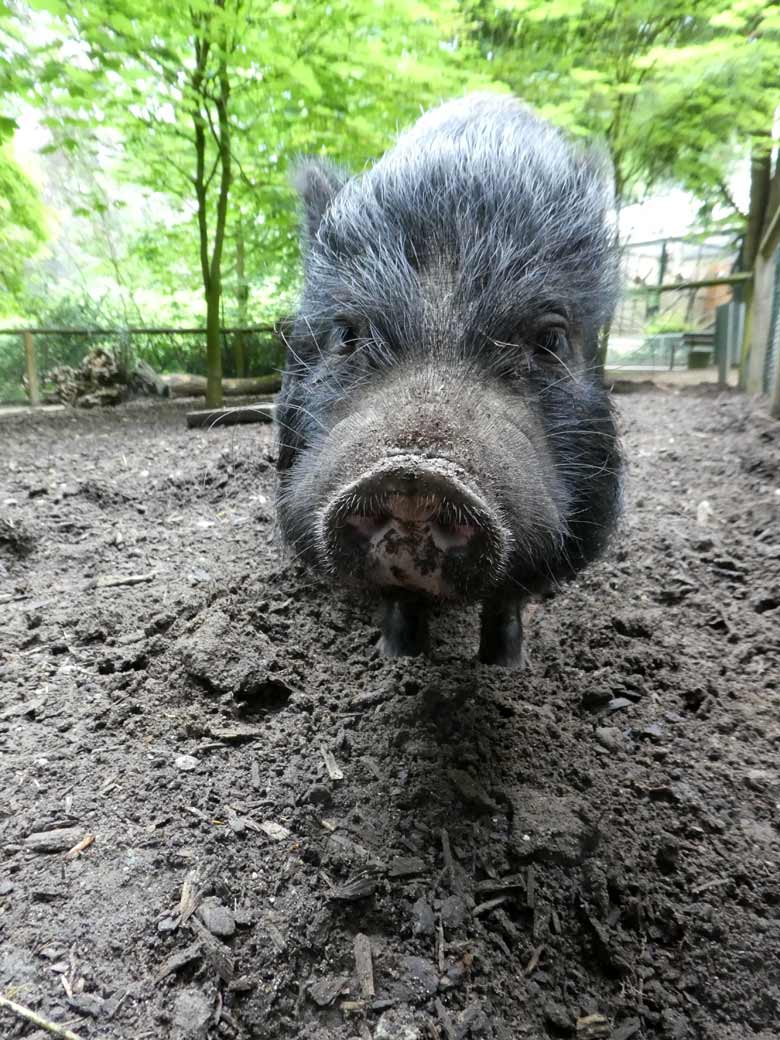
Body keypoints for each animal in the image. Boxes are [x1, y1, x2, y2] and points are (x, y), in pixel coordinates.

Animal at [274, 91, 624, 665]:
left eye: (551, 339)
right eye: (346, 333)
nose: (416, 473)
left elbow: (505, 606)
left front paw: (506, 667)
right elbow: (401, 604)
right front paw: (398, 660)